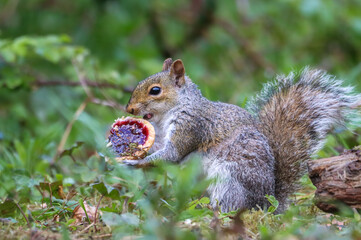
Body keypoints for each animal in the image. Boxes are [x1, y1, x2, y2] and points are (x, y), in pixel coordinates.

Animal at [122, 58, 358, 212]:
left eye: (155, 91)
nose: (129, 109)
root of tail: (267, 203)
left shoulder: (191, 126)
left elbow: (171, 154)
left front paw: (134, 163)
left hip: (229, 178)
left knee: (232, 206)